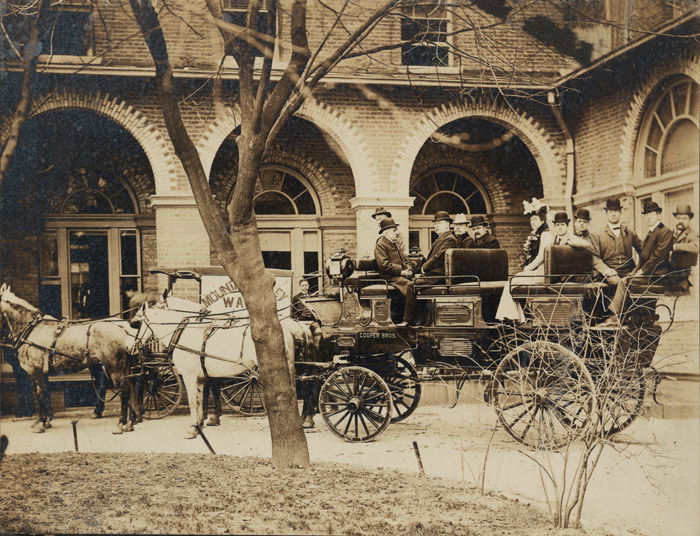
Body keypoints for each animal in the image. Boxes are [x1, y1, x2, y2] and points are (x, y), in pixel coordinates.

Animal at [0, 282, 142, 434]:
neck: (31, 329)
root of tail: (122, 327)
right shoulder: (42, 373)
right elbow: (45, 393)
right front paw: (46, 421)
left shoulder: (35, 371)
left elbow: (39, 394)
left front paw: (40, 423)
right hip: (124, 367)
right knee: (131, 388)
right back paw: (130, 423)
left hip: (114, 367)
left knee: (124, 391)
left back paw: (121, 423)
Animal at [133, 296, 304, 438]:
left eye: (138, 322)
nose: (133, 346)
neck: (184, 333)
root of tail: (286, 327)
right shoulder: (201, 377)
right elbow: (200, 400)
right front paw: (200, 425)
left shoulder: (189, 376)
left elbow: (193, 402)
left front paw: (193, 428)